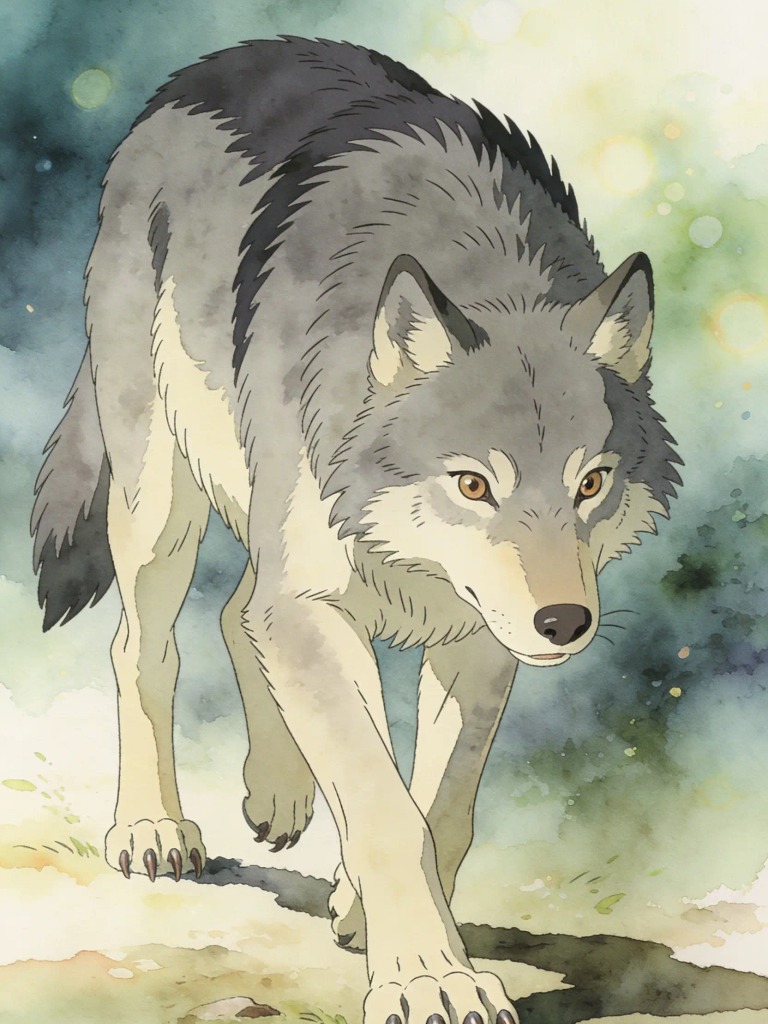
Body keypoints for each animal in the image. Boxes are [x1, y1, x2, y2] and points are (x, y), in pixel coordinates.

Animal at [31, 36, 681, 1024]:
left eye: (592, 484)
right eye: (473, 485)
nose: (564, 624)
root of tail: (204, 70)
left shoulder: (479, 632)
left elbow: (440, 807)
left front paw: (369, 915)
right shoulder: (321, 603)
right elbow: (383, 807)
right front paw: (430, 978)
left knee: (237, 612)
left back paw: (279, 789)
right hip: (160, 500)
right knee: (145, 644)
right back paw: (151, 826)